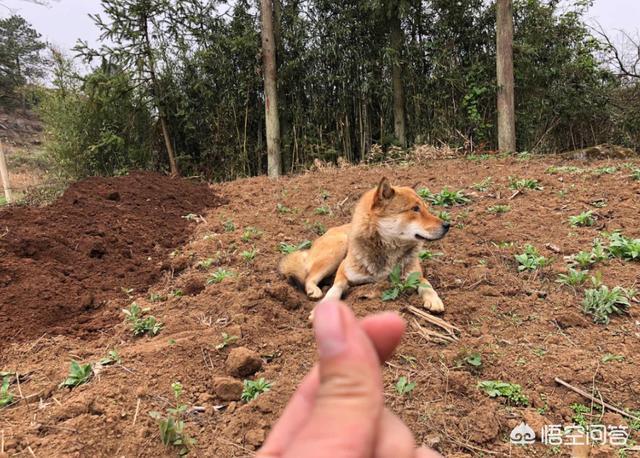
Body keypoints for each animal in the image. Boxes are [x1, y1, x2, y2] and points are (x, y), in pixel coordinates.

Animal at [280, 177, 450, 316]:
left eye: (426, 208)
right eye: (415, 209)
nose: (448, 225)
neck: (387, 250)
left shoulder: (415, 275)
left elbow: (426, 284)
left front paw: (434, 299)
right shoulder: (343, 272)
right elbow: (335, 289)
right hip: (338, 248)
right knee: (309, 277)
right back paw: (313, 289)